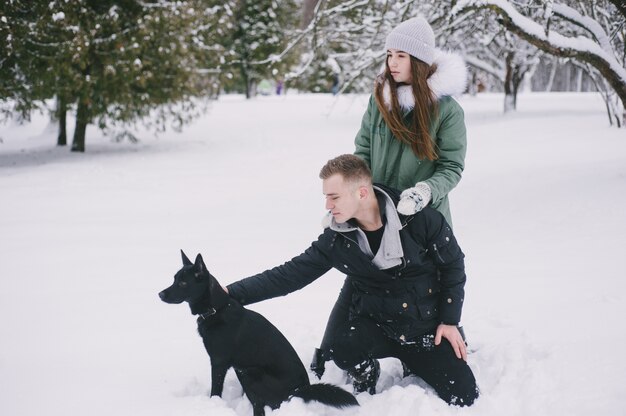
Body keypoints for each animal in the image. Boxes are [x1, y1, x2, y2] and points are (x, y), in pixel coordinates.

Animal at [158, 252, 358, 414]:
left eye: (183, 282)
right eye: (174, 279)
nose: (160, 294)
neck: (216, 309)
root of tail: (301, 389)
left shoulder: (219, 362)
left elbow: (216, 390)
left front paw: (212, 404)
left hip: (249, 373)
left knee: (261, 406)